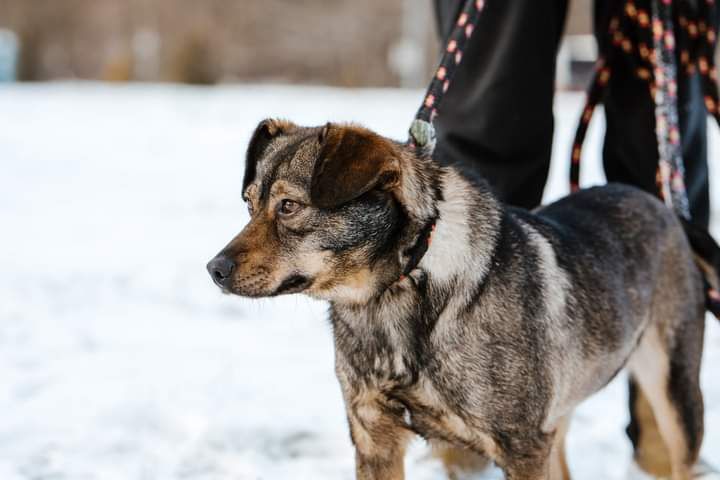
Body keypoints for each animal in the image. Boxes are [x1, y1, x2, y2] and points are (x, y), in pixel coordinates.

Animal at [205, 120, 716, 480]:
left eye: (289, 207)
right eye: (249, 204)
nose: (214, 269)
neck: (393, 296)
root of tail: (662, 207)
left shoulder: (523, 447)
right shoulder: (375, 438)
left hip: (674, 392)